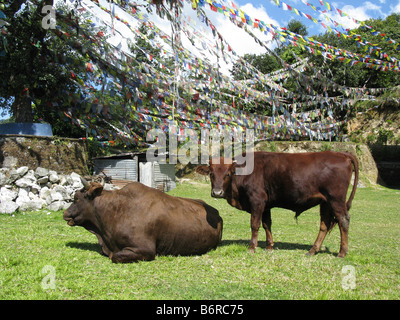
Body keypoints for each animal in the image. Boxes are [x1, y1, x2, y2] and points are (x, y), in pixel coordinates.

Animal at [197, 151, 360, 258]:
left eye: (228, 174)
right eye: (211, 174)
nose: (217, 192)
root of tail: (341, 154)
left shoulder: (257, 200)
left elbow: (255, 224)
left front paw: (252, 247)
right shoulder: (266, 205)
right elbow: (267, 224)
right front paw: (269, 246)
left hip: (336, 200)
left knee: (343, 220)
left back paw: (342, 252)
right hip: (325, 202)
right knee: (324, 224)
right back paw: (313, 250)